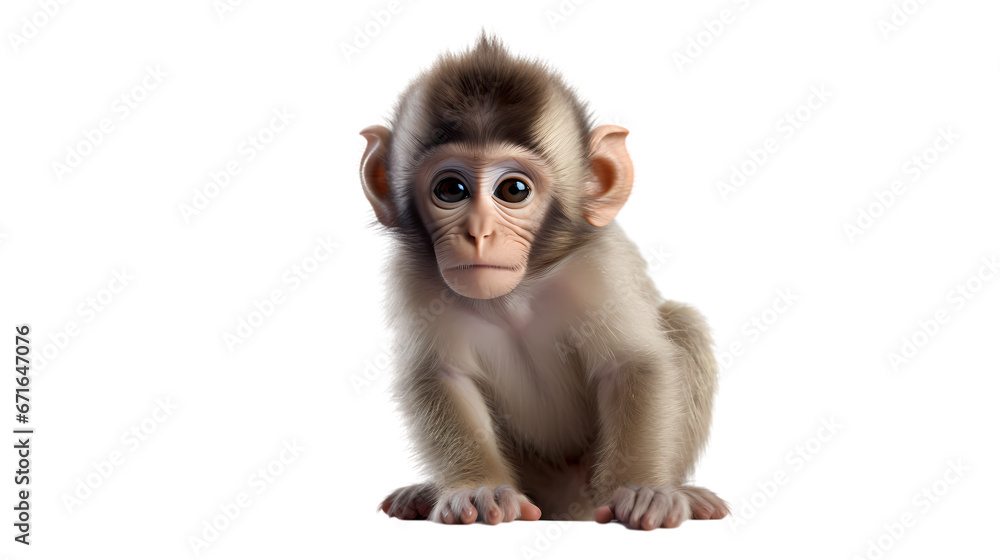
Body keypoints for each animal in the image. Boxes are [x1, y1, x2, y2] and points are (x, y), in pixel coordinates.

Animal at [362, 34, 728, 530]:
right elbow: (443, 375)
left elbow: (632, 364)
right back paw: (421, 494)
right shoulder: (414, 277)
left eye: (513, 190)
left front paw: (641, 491)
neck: (513, 297)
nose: (478, 233)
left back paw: (686, 494)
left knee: (683, 322)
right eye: (450, 190)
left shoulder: (599, 266)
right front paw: (477, 489)